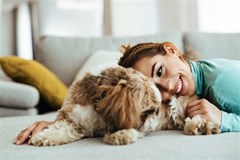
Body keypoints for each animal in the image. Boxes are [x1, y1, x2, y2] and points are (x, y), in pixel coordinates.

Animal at [30, 65, 221, 146]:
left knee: (188, 120)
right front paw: (44, 137)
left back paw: (201, 126)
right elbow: (61, 128)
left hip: (179, 105)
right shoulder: (71, 117)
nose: (157, 114)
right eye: (149, 110)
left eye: (157, 109)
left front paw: (120, 136)